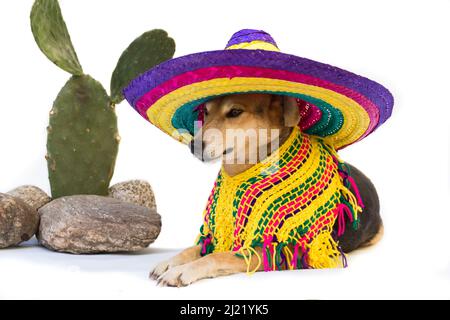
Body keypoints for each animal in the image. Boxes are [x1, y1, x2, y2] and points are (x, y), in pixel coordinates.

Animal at [150, 93, 384, 288]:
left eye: (235, 112)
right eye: (205, 112)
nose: (194, 146)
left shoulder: (279, 252)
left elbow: (217, 256)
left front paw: (183, 271)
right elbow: (196, 249)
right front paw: (171, 262)